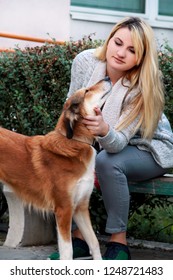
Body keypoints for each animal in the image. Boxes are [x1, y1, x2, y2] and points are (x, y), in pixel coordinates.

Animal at [0, 77, 111, 260]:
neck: (75, 142)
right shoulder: (63, 210)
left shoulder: (80, 208)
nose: (108, 78)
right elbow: (68, 251)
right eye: (87, 91)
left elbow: (94, 243)